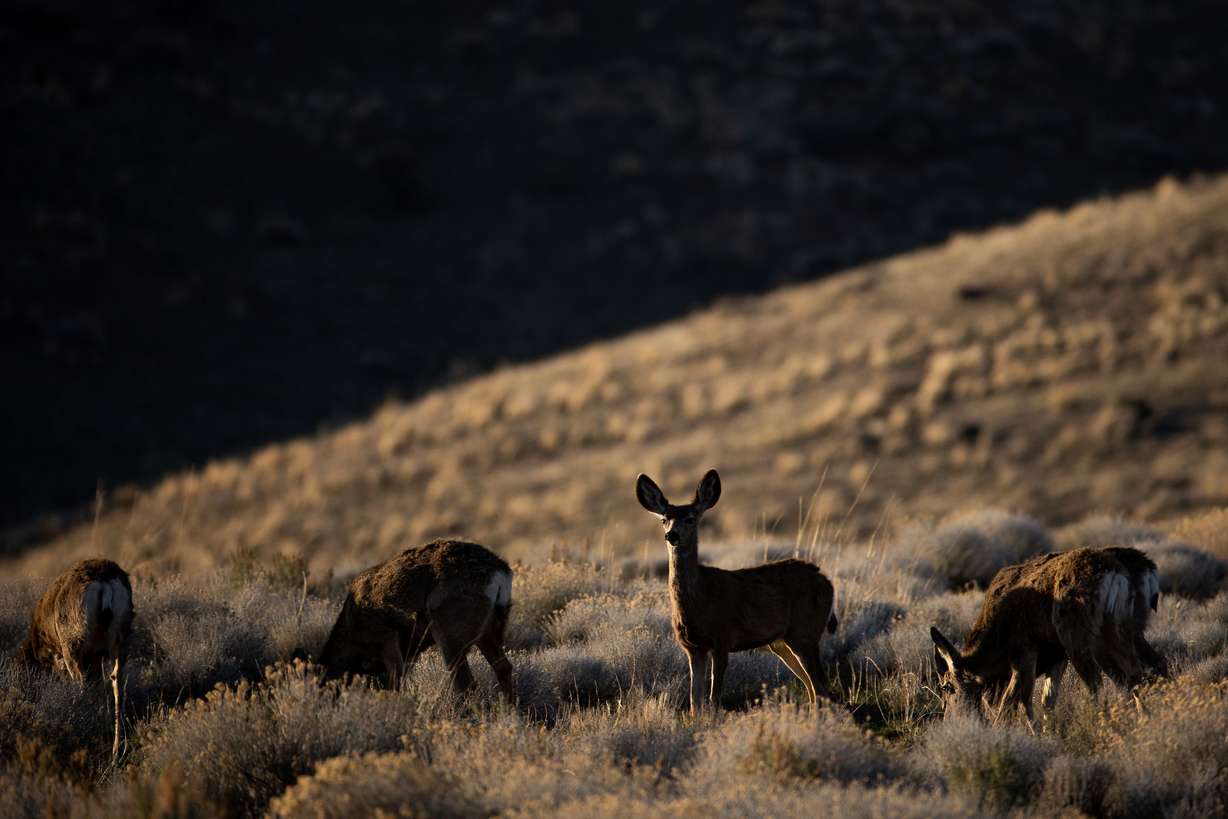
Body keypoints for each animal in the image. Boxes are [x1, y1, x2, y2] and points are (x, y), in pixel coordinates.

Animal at [15, 559, 135, 762]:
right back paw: (116, 750)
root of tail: (103, 582)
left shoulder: (60, 658)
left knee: (81, 683)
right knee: (117, 679)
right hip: (120, 636)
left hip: (73, 643)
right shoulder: (94, 657)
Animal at [317, 539, 515, 702]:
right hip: (490, 629)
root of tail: (501, 573)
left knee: (466, 683)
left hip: (449, 629)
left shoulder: (387, 637)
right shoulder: (411, 651)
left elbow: (396, 682)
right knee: (503, 667)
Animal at [635, 469, 840, 715]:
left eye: (691, 518)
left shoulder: (723, 638)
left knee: (822, 687)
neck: (700, 597)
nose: (672, 535)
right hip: (781, 642)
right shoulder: (692, 647)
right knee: (813, 687)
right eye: (664, 519)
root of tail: (828, 583)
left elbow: (714, 698)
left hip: (804, 631)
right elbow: (695, 701)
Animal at [930, 546, 1167, 727]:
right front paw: (1048, 732)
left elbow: (1016, 700)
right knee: (1150, 667)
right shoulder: (1056, 656)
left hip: (1079, 634)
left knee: (1101, 683)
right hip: (1127, 628)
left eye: (946, 686)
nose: (948, 719)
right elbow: (1047, 700)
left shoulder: (1023, 650)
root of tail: (1116, 573)